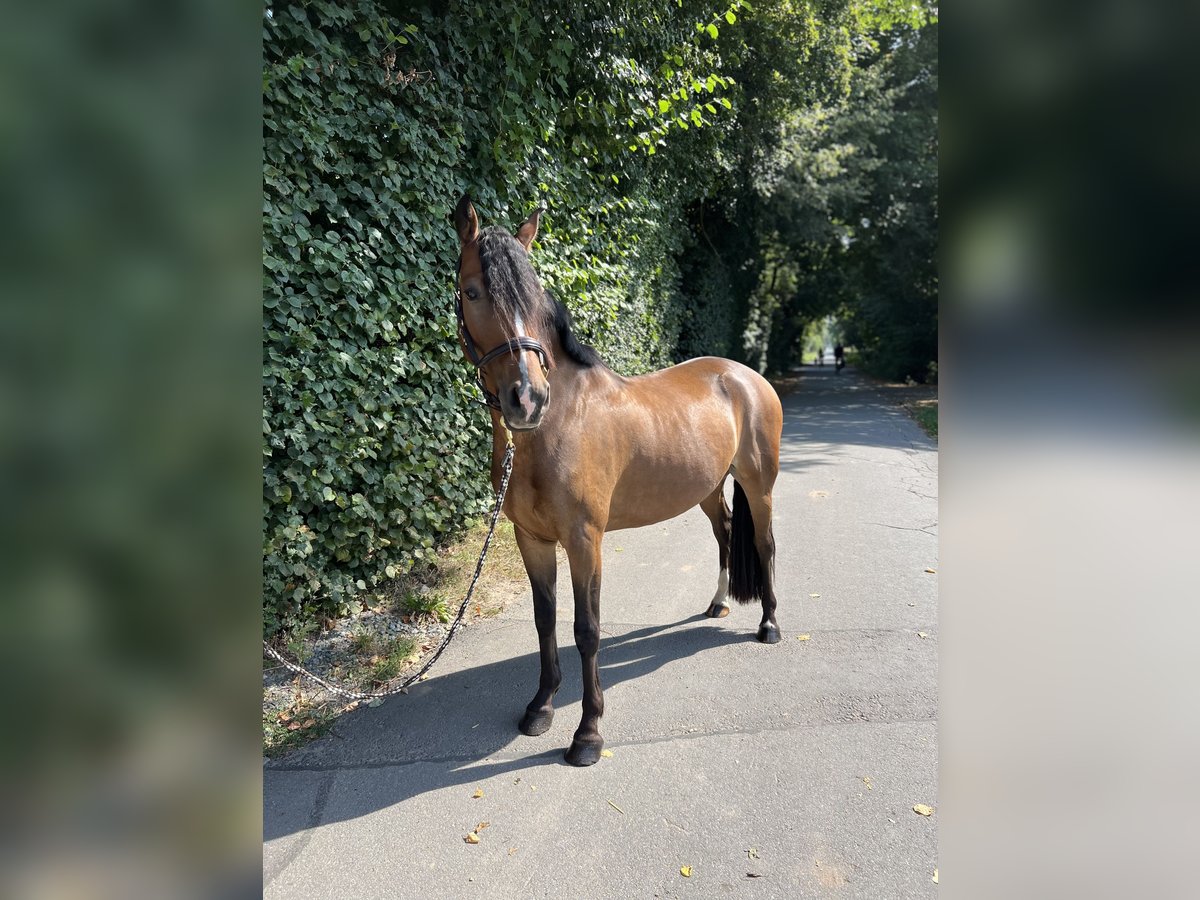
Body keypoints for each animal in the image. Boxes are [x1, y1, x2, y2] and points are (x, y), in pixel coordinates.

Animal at [453, 196, 782, 768]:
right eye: (472, 291)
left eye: (534, 297)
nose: (526, 399)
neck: (555, 425)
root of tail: (745, 376)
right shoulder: (531, 538)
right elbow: (545, 620)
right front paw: (541, 707)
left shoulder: (585, 540)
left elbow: (587, 630)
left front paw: (588, 734)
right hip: (708, 489)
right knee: (723, 533)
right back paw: (718, 603)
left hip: (758, 485)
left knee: (764, 545)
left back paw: (769, 625)